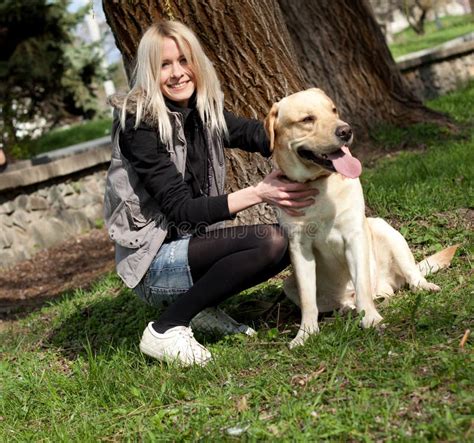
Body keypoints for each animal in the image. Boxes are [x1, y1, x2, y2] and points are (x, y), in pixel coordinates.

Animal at [264, 87, 458, 350]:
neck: (320, 186)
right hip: (288, 284)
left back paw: (421, 286)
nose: (345, 131)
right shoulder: (299, 247)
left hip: (386, 230)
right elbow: (308, 301)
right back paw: (347, 308)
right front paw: (305, 334)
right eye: (307, 119)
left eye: (333, 110)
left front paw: (371, 319)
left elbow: (363, 284)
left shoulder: (355, 236)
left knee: (410, 275)